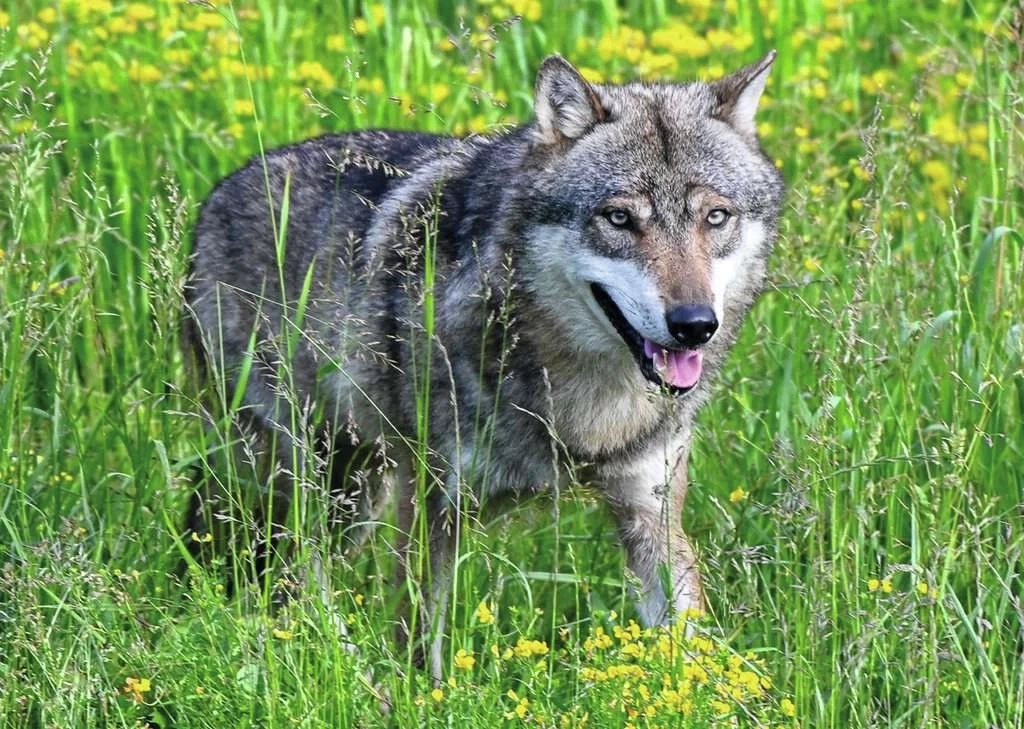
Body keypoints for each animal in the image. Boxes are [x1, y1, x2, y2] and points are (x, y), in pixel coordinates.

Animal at [182, 52, 785, 678]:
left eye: (715, 217)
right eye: (619, 219)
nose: (694, 324)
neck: (585, 401)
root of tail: (216, 197)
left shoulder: (652, 512)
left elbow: (689, 648)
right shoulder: (431, 504)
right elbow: (418, 639)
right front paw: (418, 694)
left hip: (354, 493)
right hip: (304, 481)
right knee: (287, 572)